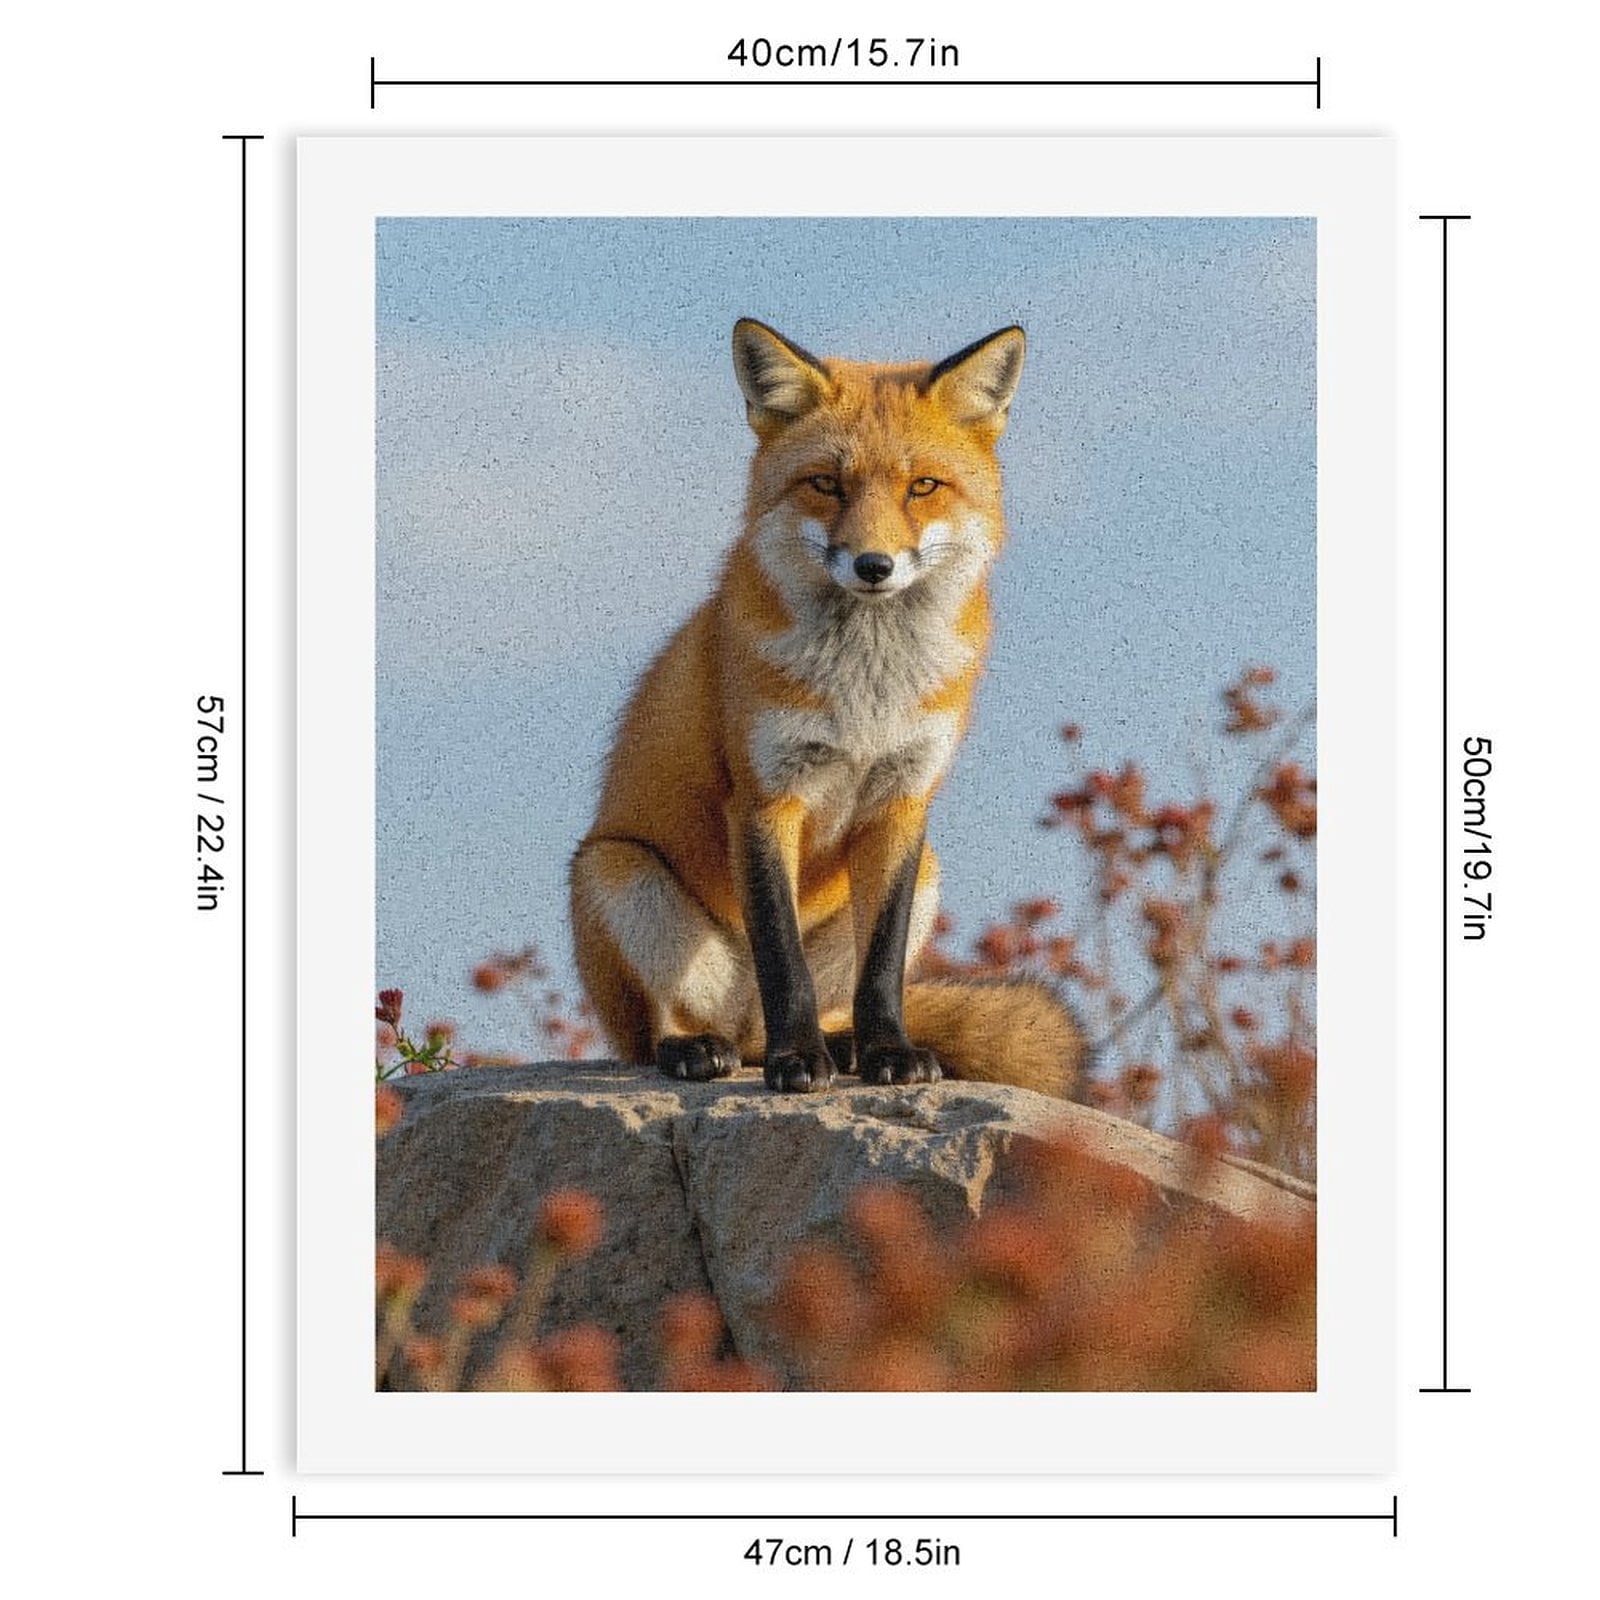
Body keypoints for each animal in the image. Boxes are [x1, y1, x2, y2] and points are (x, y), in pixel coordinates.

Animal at [569, 319, 1086, 1096]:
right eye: (825, 484)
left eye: (922, 487)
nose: (874, 565)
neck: (866, 693)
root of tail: (740, 1026)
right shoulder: (763, 798)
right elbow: (783, 959)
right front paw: (797, 1060)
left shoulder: (904, 801)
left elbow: (883, 967)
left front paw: (889, 1053)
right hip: (618, 873)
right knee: (657, 1032)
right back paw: (702, 1049)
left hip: (929, 872)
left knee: (823, 1006)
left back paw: (842, 1048)